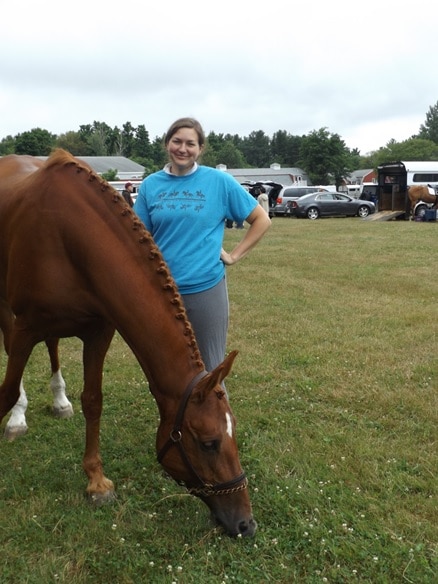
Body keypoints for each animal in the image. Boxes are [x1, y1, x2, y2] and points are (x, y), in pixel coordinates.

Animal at [0, 148, 255, 536]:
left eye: (234, 432)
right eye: (209, 443)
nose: (245, 523)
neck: (69, 235)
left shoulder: (99, 330)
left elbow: (93, 401)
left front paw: (96, 481)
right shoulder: (26, 327)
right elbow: (8, 390)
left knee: (54, 347)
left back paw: (59, 401)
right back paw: (19, 419)